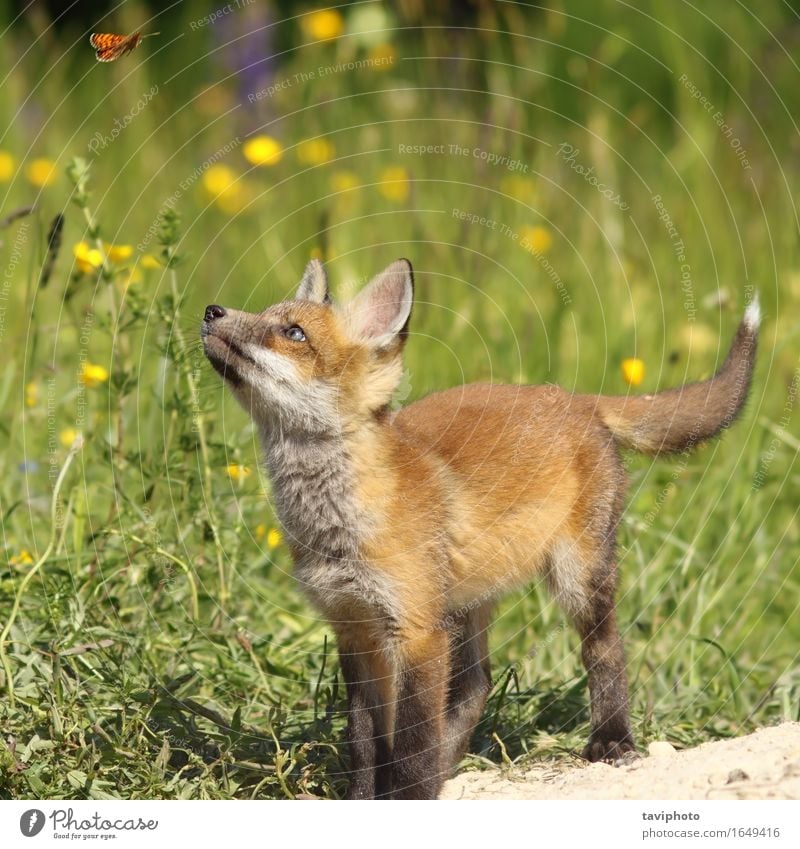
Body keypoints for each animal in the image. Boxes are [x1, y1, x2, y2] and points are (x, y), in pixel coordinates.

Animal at [202, 258, 764, 796]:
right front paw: (365, 797)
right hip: (467, 602)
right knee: (478, 685)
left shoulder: (418, 632)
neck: (335, 528)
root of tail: (577, 399)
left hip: (576, 579)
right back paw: (450, 762)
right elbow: (364, 741)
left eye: (293, 332)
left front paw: (408, 797)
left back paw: (611, 739)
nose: (211, 310)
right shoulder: (354, 628)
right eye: (263, 313)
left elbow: (411, 741)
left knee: (605, 651)